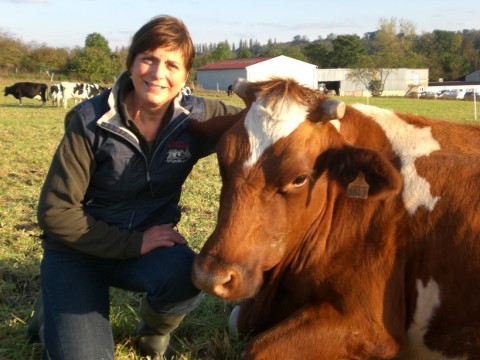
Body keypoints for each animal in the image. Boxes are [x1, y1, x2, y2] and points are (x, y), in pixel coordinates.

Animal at [191, 77, 480, 358]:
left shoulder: (368, 326)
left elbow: (254, 350)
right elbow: (236, 320)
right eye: (222, 159)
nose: (211, 276)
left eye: (299, 178)